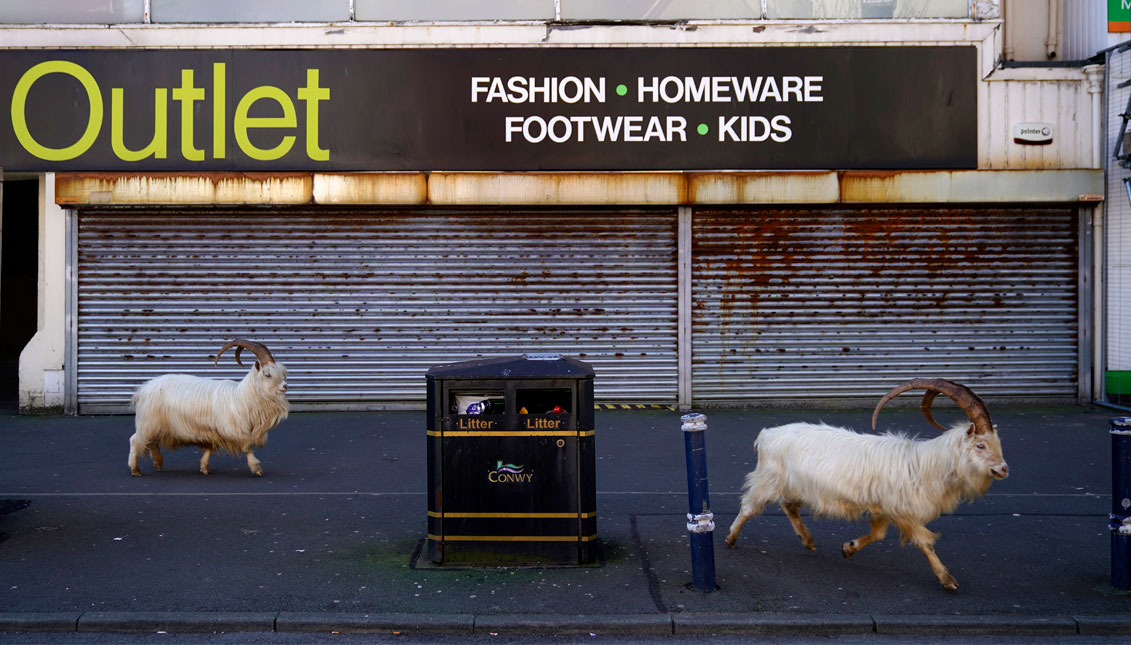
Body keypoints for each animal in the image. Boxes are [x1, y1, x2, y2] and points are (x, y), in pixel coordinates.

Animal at [127, 339, 291, 475]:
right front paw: (256, 468)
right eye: (267, 374)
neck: (242, 398)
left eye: (282, 374)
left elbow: (209, 448)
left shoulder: (211, 430)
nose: (285, 386)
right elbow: (247, 447)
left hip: (156, 425)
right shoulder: (234, 430)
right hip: (147, 422)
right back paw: (136, 470)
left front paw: (205, 468)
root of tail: (143, 388)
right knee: (136, 440)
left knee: (152, 442)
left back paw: (158, 462)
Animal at [728, 375, 1013, 588]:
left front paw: (848, 548)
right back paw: (730, 539)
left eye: (998, 443)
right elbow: (924, 541)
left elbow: (878, 533)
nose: (1004, 469)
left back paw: (807, 540)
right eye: (980, 445)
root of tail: (766, 435)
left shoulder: (884, 507)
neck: (924, 465)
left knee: (789, 505)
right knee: (749, 506)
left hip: (794, 485)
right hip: (768, 478)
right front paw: (947, 579)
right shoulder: (903, 510)